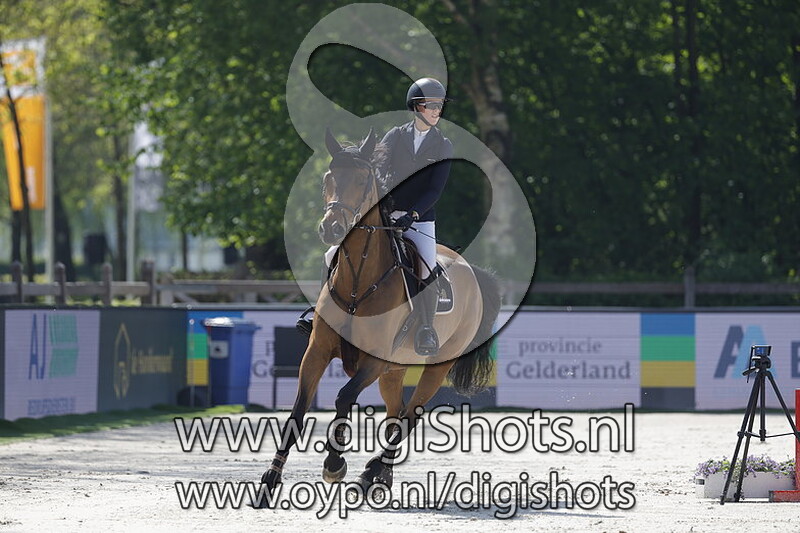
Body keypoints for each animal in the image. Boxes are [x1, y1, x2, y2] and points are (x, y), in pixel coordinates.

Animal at [261, 128, 501, 494]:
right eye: (328, 178)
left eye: (362, 181)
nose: (331, 228)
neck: (359, 281)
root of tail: (472, 271)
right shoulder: (316, 351)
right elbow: (298, 410)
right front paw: (271, 478)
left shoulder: (372, 359)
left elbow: (344, 397)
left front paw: (334, 464)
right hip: (394, 369)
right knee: (395, 412)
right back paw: (378, 474)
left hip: (434, 367)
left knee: (411, 414)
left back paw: (372, 469)